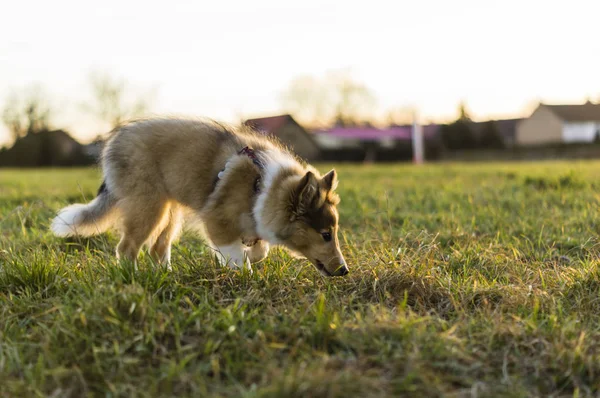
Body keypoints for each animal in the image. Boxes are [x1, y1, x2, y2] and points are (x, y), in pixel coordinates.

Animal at [52, 118, 352, 276]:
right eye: (326, 234)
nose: (344, 270)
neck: (263, 186)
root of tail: (114, 141)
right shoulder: (216, 219)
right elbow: (235, 253)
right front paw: (243, 274)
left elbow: (259, 249)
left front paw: (250, 253)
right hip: (148, 206)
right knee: (126, 248)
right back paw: (133, 278)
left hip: (171, 212)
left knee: (157, 248)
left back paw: (167, 276)